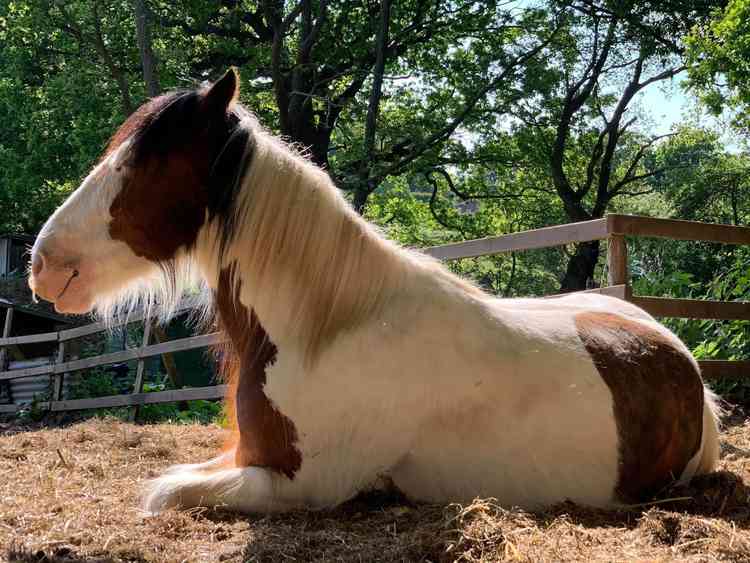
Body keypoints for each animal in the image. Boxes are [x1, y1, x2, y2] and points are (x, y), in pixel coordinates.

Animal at [27, 70, 724, 516]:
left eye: (143, 164)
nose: (42, 263)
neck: (327, 330)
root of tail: (678, 354)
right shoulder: (242, 458)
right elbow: (167, 478)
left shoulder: (299, 486)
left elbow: (161, 492)